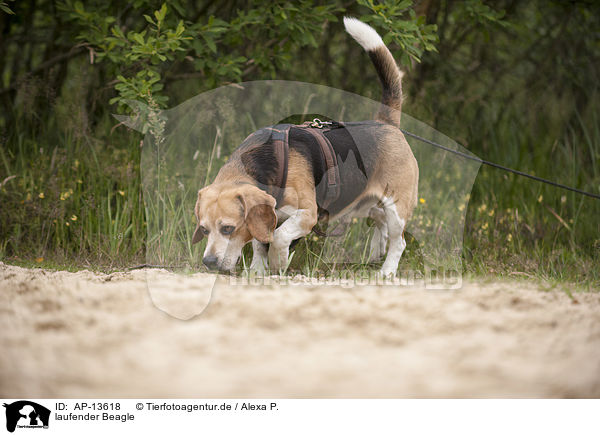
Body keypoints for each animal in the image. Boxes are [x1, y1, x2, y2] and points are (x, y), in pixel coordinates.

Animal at [192, 17, 418, 276]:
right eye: (204, 229)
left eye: (228, 228)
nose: (208, 262)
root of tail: (385, 122)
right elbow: (260, 243)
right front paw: (258, 271)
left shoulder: (307, 215)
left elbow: (279, 237)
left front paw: (278, 262)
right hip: (369, 204)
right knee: (381, 226)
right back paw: (375, 253)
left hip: (396, 206)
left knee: (398, 241)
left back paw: (386, 271)